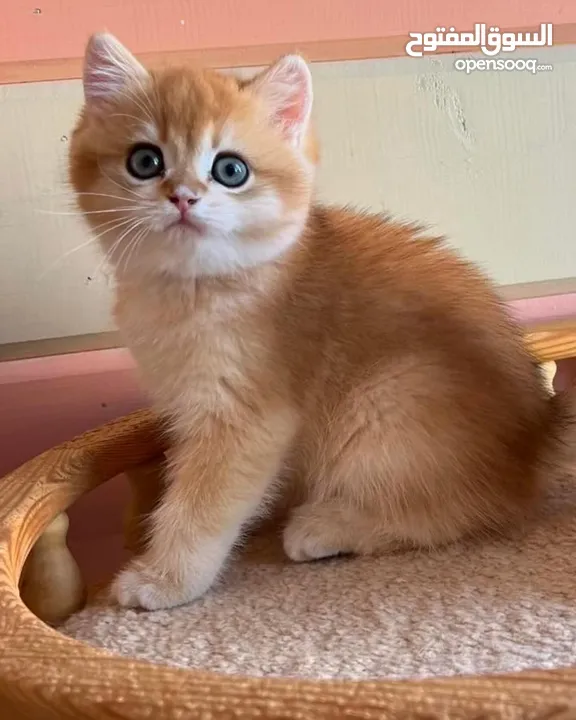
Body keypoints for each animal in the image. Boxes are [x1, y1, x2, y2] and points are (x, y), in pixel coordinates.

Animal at [70, 32, 572, 608]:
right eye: (145, 161)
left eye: (230, 170)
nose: (183, 197)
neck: (196, 287)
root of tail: (536, 436)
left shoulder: (247, 420)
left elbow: (200, 505)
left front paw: (165, 578)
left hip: (389, 398)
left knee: (461, 511)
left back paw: (328, 526)